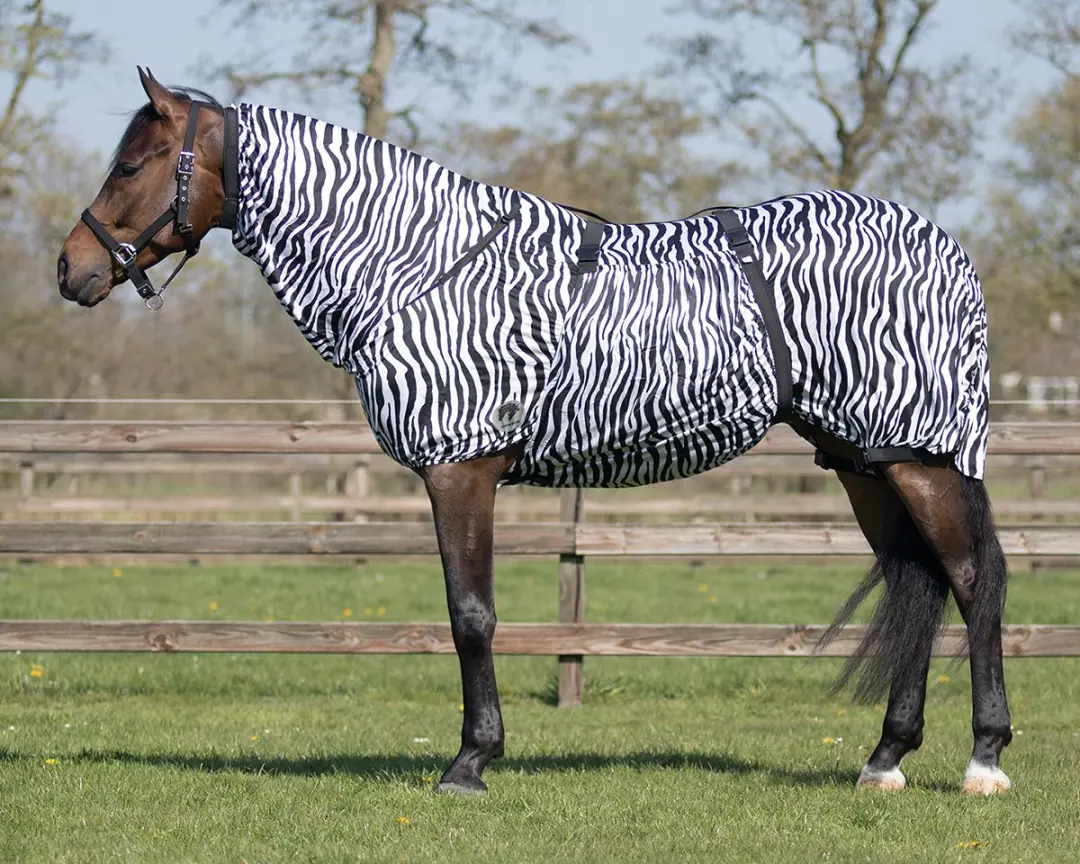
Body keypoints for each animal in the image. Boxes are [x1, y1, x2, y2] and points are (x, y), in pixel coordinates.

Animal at [58, 68, 1012, 797]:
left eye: (133, 163)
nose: (71, 268)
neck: (417, 265)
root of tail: (949, 250)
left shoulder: (461, 470)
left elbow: (470, 614)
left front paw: (470, 762)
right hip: (867, 462)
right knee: (922, 581)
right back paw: (884, 760)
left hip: (923, 461)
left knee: (973, 582)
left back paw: (985, 760)